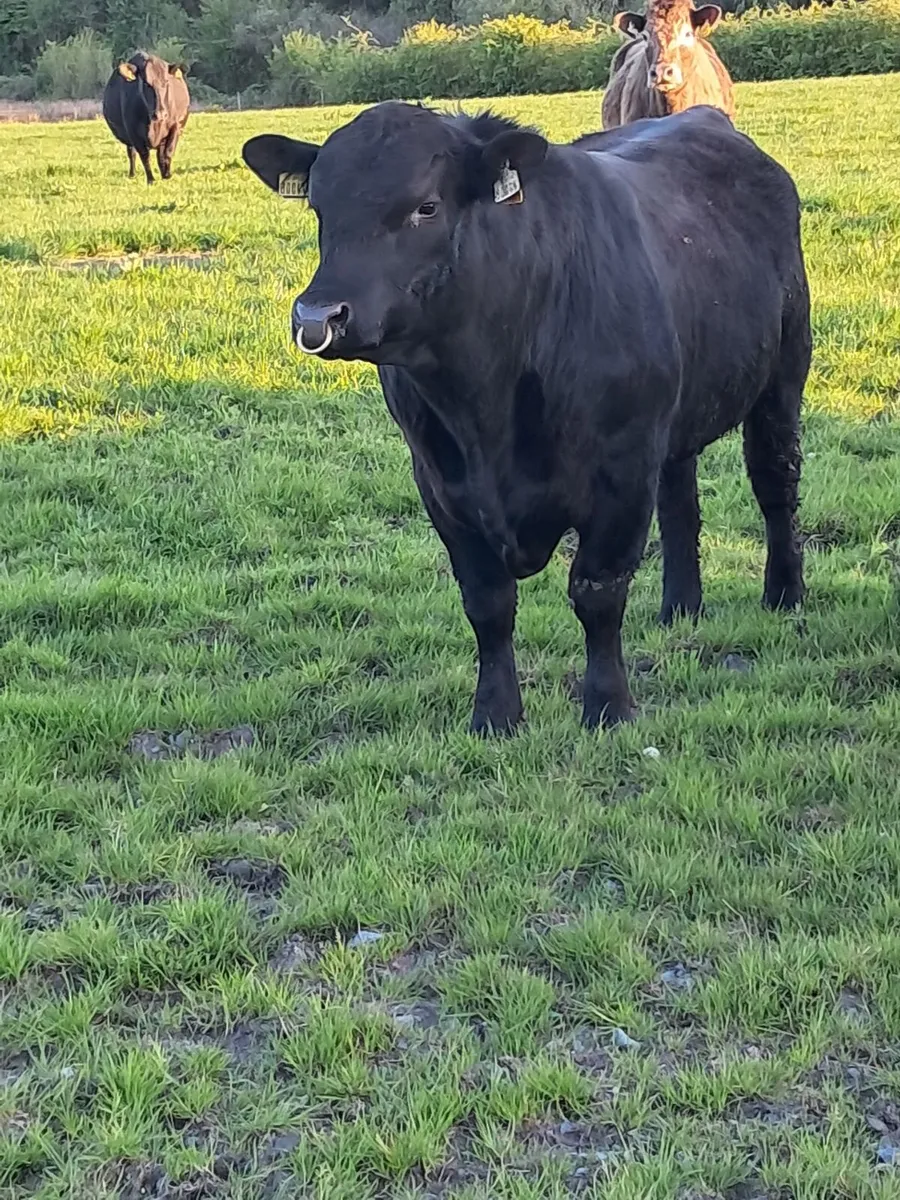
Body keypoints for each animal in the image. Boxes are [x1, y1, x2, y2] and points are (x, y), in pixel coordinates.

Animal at [102, 51, 190, 184]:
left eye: (166, 82)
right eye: (146, 83)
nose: (161, 113)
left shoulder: (176, 126)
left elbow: (168, 152)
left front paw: (167, 175)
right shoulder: (133, 131)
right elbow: (144, 155)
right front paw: (151, 180)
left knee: (160, 154)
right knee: (132, 153)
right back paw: (132, 174)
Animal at [241, 101, 810, 735]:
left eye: (426, 206)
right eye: (320, 208)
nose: (319, 317)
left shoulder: (622, 472)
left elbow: (597, 592)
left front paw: (608, 707)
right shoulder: (440, 482)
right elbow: (487, 604)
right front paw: (495, 715)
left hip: (783, 375)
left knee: (775, 485)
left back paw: (784, 594)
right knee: (680, 499)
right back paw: (680, 608)